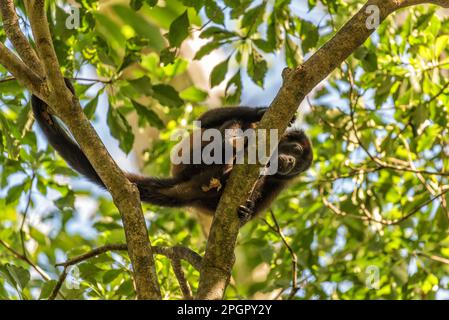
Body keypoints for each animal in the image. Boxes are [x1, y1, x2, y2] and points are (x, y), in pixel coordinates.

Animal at [30, 79, 312, 225]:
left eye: (299, 166)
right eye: (296, 150)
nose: (289, 161)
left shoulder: (280, 184)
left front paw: (246, 212)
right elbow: (206, 119)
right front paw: (260, 112)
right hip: (187, 159)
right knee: (227, 128)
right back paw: (234, 145)